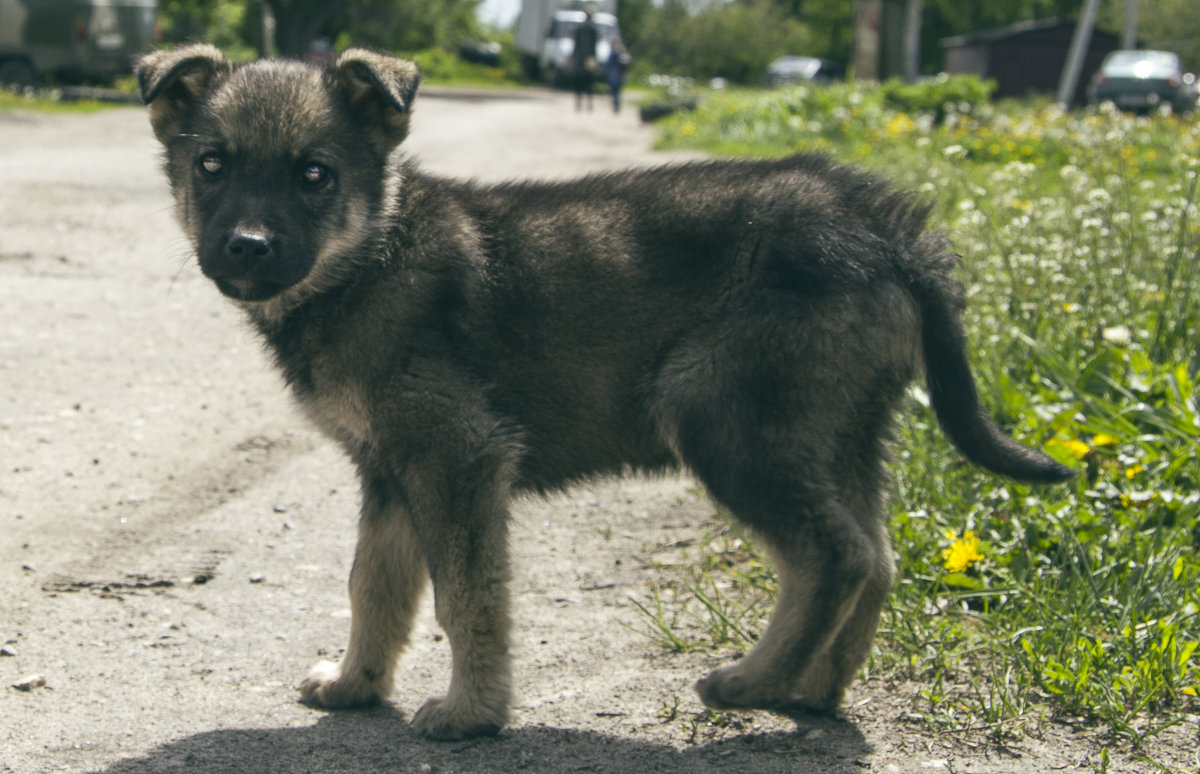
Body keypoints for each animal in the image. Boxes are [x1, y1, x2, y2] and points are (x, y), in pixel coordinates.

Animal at [138, 45, 1070, 739]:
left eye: (315, 176)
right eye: (211, 166)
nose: (247, 247)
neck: (370, 255)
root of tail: (886, 226)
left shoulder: (458, 455)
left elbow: (467, 598)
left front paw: (472, 714)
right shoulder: (392, 472)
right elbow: (376, 587)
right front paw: (356, 686)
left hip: (725, 416)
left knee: (833, 555)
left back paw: (751, 683)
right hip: (837, 427)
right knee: (875, 556)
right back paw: (814, 691)